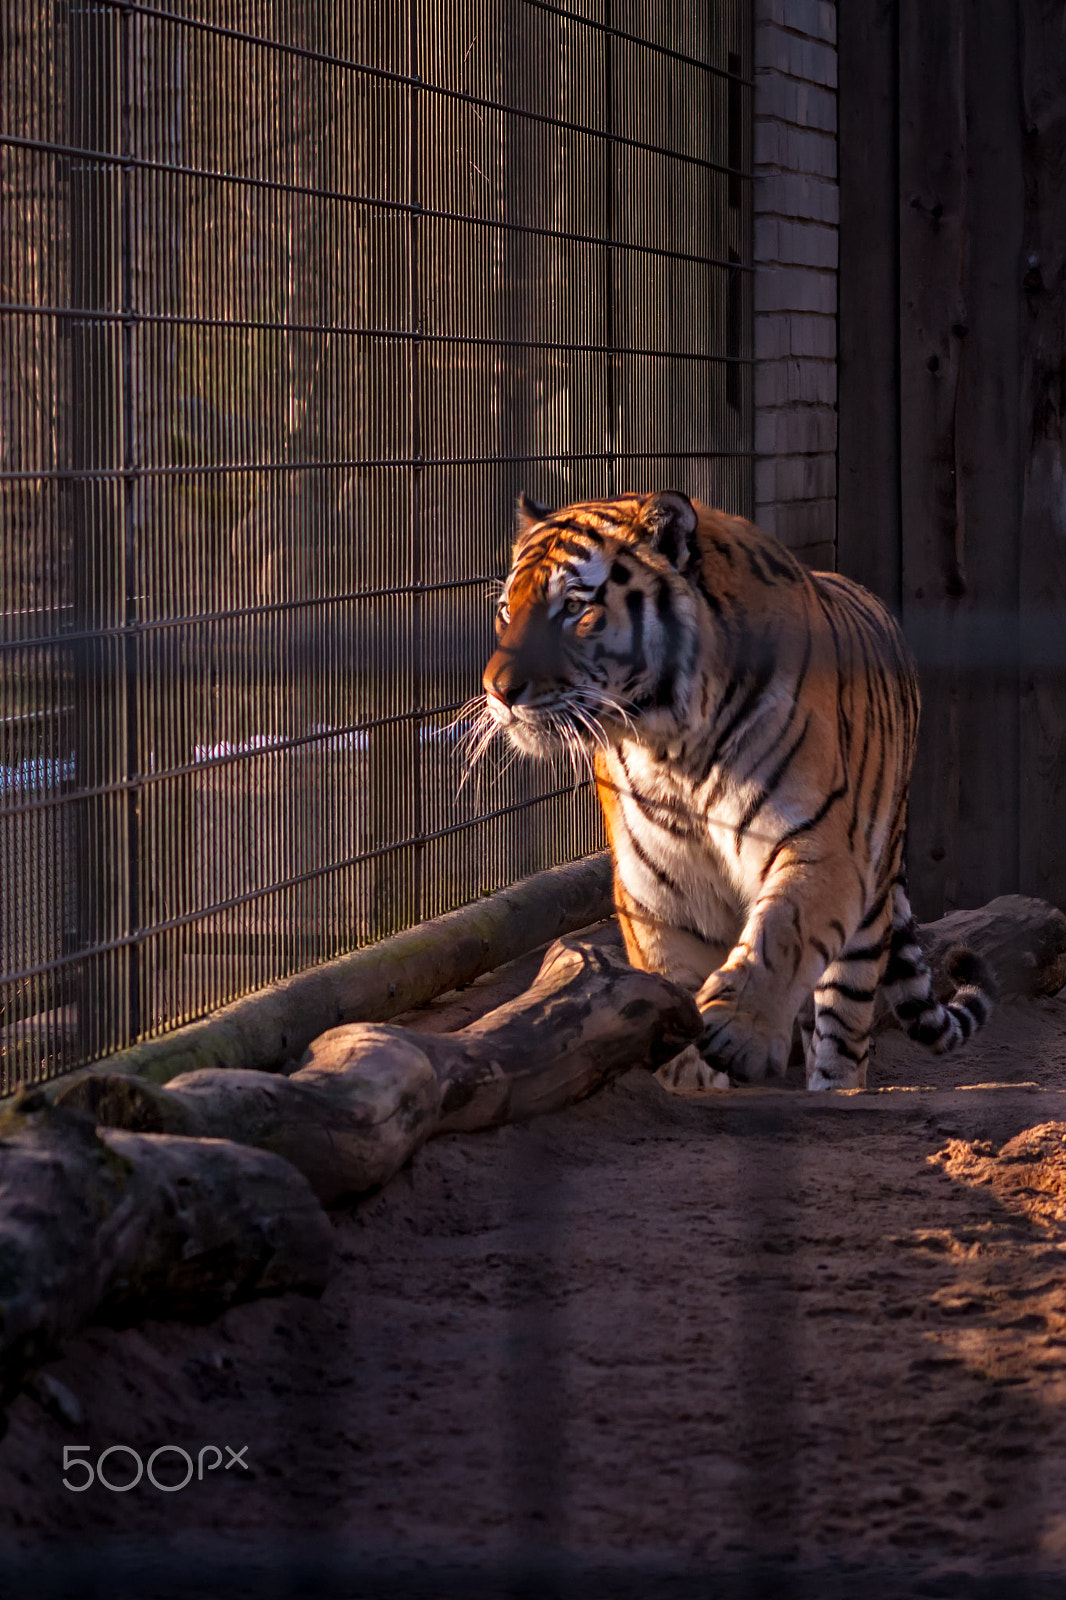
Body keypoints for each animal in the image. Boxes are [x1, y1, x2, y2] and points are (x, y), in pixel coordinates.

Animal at [476, 486, 992, 1088]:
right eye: (505, 610)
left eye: (575, 608)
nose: (497, 691)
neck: (670, 747)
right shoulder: (659, 888)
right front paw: (691, 1077)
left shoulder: (821, 842)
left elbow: (782, 932)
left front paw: (737, 1032)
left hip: (870, 900)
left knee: (841, 1033)